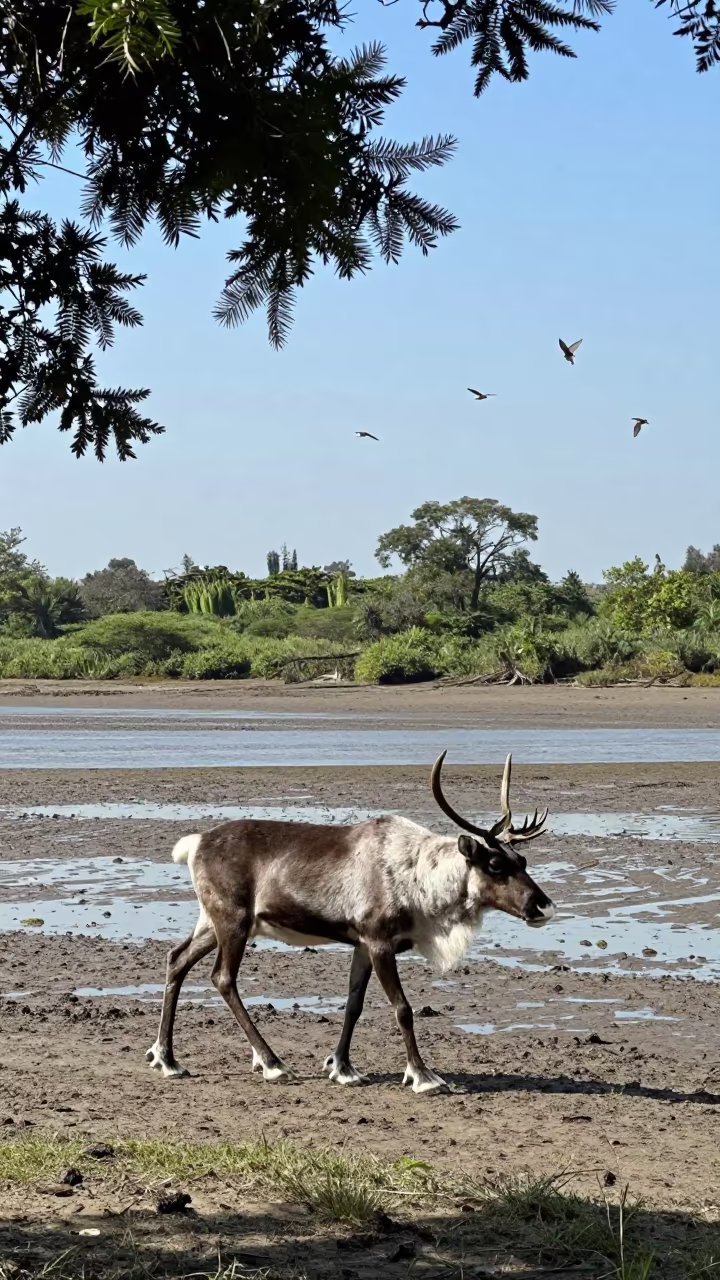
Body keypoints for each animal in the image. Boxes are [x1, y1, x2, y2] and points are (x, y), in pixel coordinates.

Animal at [146, 752, 555, 1093]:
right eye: (496, 864)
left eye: (523, 860)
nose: (543, 906)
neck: (419, 876)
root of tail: (195, 843)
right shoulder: (378, 941)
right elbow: (403, 1008)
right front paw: (423, 1076)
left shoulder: (361, 944)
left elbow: (353, 1004)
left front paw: (342, 1067)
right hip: (233, 920)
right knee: (223, 977)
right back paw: (272, 1063)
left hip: (211, 922)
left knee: (176, 958)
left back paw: (166, 1058)